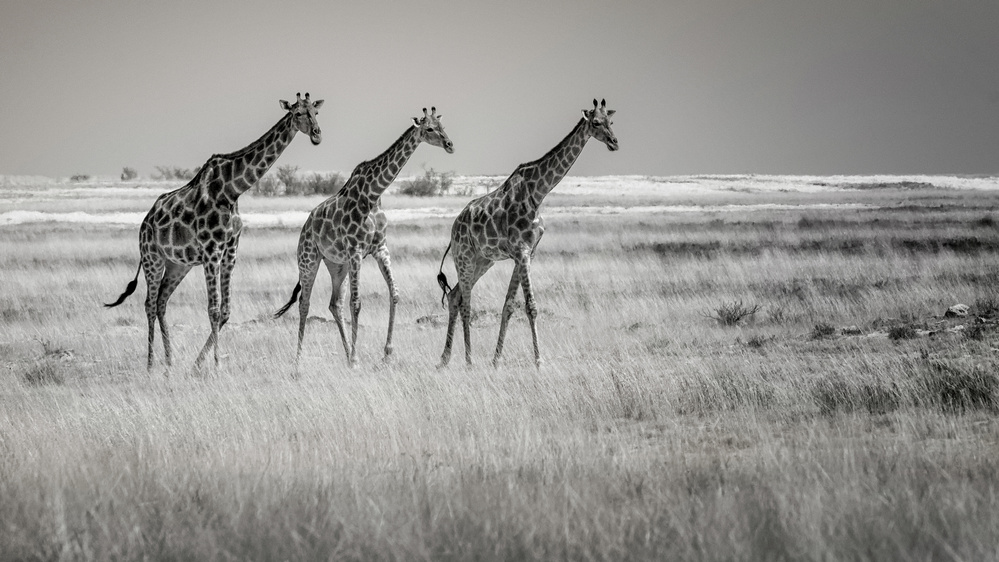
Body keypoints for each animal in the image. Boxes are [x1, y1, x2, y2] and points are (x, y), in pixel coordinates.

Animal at [106, 93, 324, 370]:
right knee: (148, 304)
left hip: (178, 265)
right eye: (297, 113)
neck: (232, 190)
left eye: (315, 112)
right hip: (152, 258)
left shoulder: (230, 250)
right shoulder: (211, 250)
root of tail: (145, 222)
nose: (317, 134)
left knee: (161, 302)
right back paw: (151, 364)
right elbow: (213, 309)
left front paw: (198, 365)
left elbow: (225, 311)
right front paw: (217, 366)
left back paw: (169, 363)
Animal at [274, 107, 454, 366]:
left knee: (335, 304)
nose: (450, 144)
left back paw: (347, 354)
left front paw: (386, 352)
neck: (373, 195)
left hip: (337, 265)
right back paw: (299, 364)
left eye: (442, 126)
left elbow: (394, 294)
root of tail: (305, 227)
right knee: (305, 304)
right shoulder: (356, 250)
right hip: (308, 259)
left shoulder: (380, 248)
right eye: (429, 129)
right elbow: (357, 303)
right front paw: (358, 358)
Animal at [438, 98, 616, 366]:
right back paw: (468, 361)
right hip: (464, 257)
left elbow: (509, 306)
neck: (538, 192)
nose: (614, 142)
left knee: (454, 296)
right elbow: (531, 306)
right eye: (595, 122)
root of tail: (453, 229)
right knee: (465, 302)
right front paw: (539, 362)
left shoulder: (527, 253)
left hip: (483, 260)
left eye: (610, 121)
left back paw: (445, 359)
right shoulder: (521, 252)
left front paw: (496, 361)